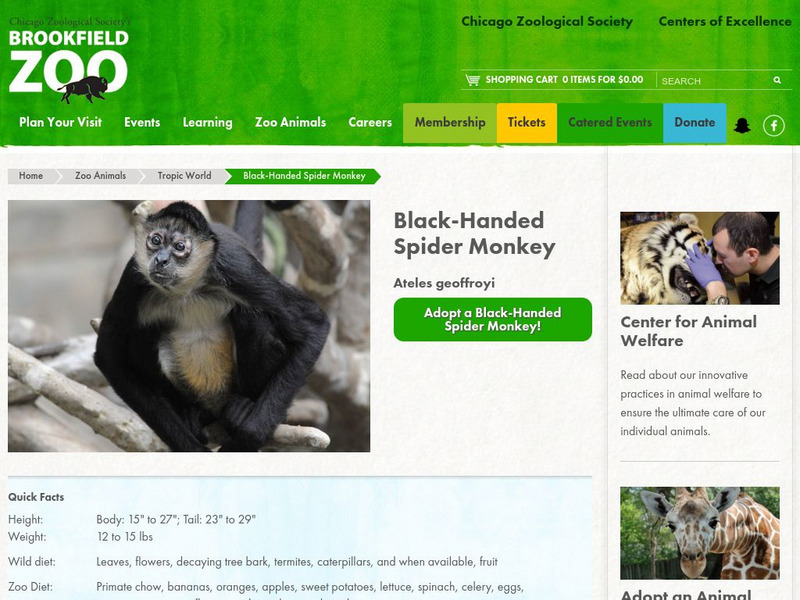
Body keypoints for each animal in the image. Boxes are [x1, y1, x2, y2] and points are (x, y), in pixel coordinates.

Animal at [94, 201, 330, 451]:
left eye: (180, 247)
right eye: (155, 240)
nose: (161, 259)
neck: (188, 290)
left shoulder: (238, 268)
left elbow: (315, 325)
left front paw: (251, 436)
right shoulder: (133, 275)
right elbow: (108, 356)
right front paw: (189, 447)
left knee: (251, 317)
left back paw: (243, 406)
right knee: (143, 333)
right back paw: (193, 414)